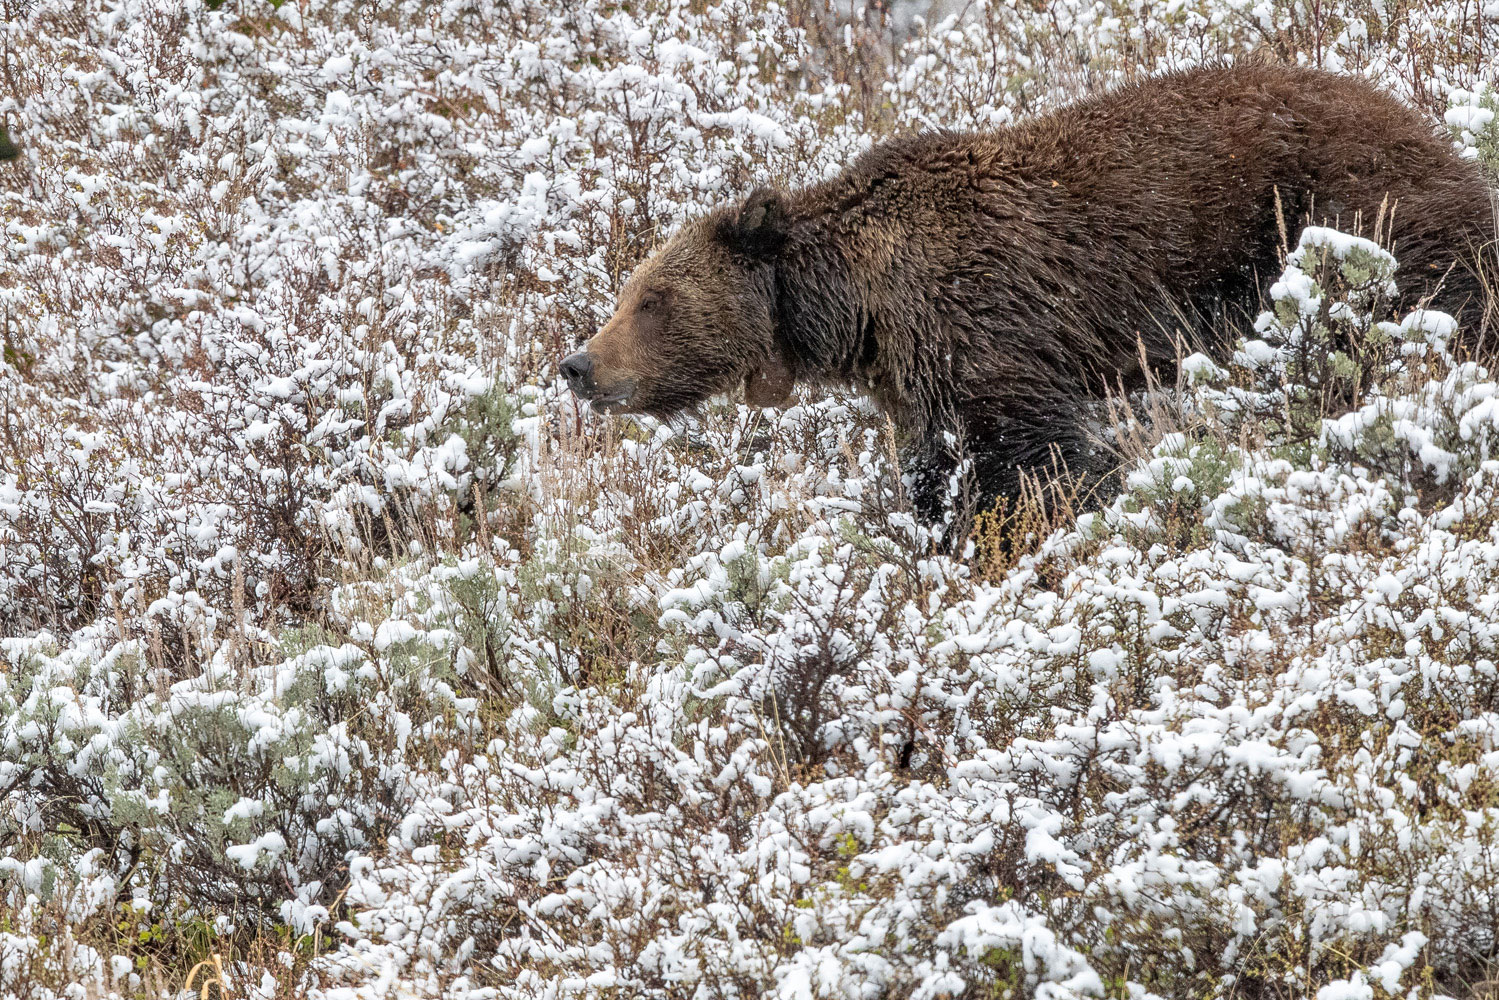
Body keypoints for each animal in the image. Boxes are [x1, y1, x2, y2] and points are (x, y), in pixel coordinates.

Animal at [563, 64, 1499, 524]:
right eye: (627, 292)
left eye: (652, 300)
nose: (577, 365)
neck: (857, 309)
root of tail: (1414, 117)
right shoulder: (914, 376)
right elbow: (935, 464)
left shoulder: (981, 320)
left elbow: (1032, 457)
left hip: (1348, 218)